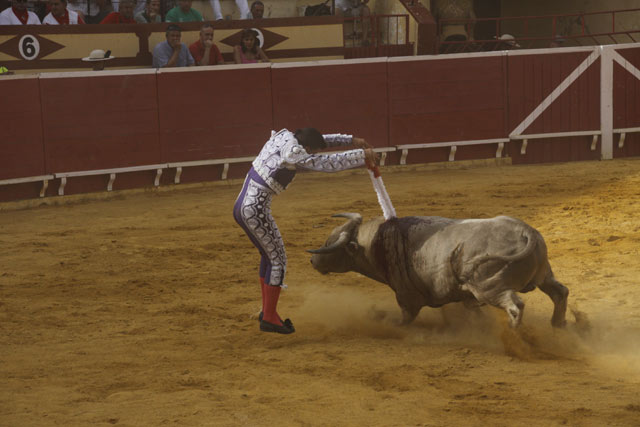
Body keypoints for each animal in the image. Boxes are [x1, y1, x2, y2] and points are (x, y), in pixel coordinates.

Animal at [308, 213, 568, 328]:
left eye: (331, 244)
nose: (313, 261)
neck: (378, 242)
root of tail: (526, 232)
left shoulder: (407, 298)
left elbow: (404, 318)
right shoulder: (466, 298)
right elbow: (473, 311)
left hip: (489, 286)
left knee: (515, 306)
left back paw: (516, 335)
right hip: (544, 274)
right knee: (560, 292)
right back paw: (558, 324)